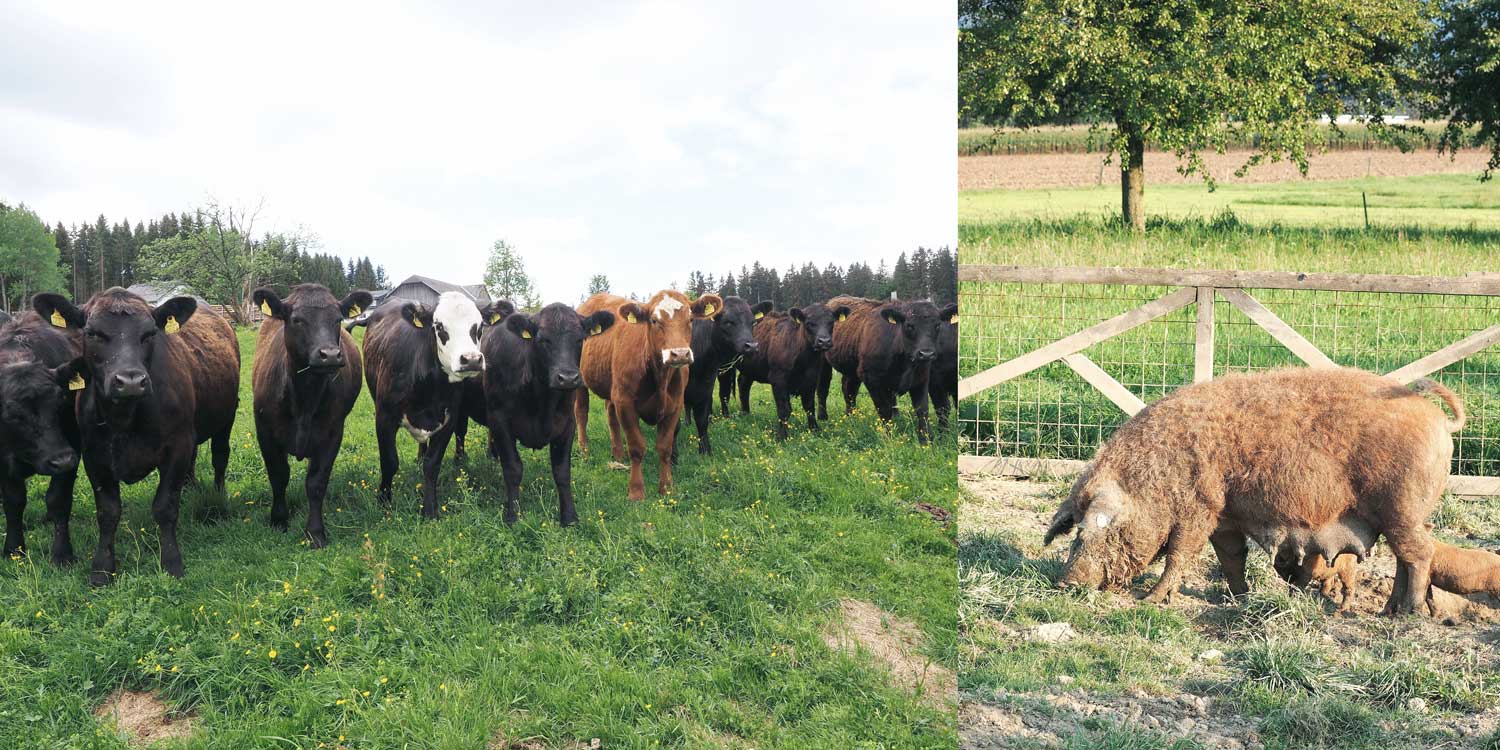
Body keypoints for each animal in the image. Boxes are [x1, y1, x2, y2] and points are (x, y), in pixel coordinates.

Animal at [0, 310, 84, 564]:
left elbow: (58, 500)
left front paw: (63, 553)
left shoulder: (73, 447)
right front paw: (14, 549)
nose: (61, 460)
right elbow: (14, 501)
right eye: (13, 414)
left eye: (61, 402)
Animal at [250, 283, 370, 549]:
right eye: (297, 320)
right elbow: (278, 475)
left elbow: (316, 483)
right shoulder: (264, 431)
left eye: (338, 319)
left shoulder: (333, 432)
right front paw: (278, 520)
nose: (330, 355)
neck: (305, 398)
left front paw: (315, 532)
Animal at [486, 301, 615, 525]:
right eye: (543, 340)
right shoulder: (500, 421)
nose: (568, 378)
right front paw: (513, 516)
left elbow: (562, 472)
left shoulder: (567, 423)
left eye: (580, 339)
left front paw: (569, 517)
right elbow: (513, 469)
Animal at [576, 289, 723, 501]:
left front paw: (666, 488)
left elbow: (665, 447)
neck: (660, 377)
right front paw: (636, 491)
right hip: (581, 381)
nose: (680, 354)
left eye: (690, 319)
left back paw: (618, 452)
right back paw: (584, 449)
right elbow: (637, 447)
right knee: (581, 413)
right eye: (654, 320)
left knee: (610, 416)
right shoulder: (625, 404)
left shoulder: (675, 405)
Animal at [1044, 366, 1464, 618]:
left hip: (1402, 507)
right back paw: (1388, 610)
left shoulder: (1200, 508)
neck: (1156, 475)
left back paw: (1408, 614)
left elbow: (1179, 555)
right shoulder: (1225, 516)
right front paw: (1236, 598)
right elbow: (1231, 557)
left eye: (1097, 531)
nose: (1065, 583)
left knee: (1419, 555)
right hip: (1400, 515)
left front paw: (1151, 599)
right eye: (1074, 532)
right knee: (1404, 559)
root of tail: (1440, 421)